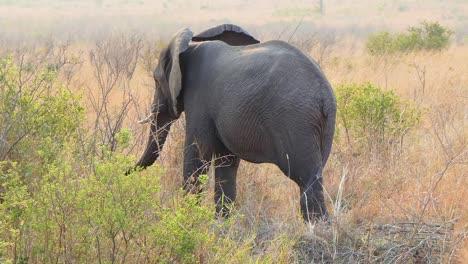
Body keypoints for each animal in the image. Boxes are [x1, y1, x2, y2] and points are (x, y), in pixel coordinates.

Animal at [133, 24, 334, 223]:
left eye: (156, 80)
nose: (127, 171)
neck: (189, 49)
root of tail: (325, 95)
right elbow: (226, 162)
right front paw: (222, 223)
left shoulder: (199, 100)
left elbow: (197, 154)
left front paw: (188, 219)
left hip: (295, 119)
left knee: (306, 178)